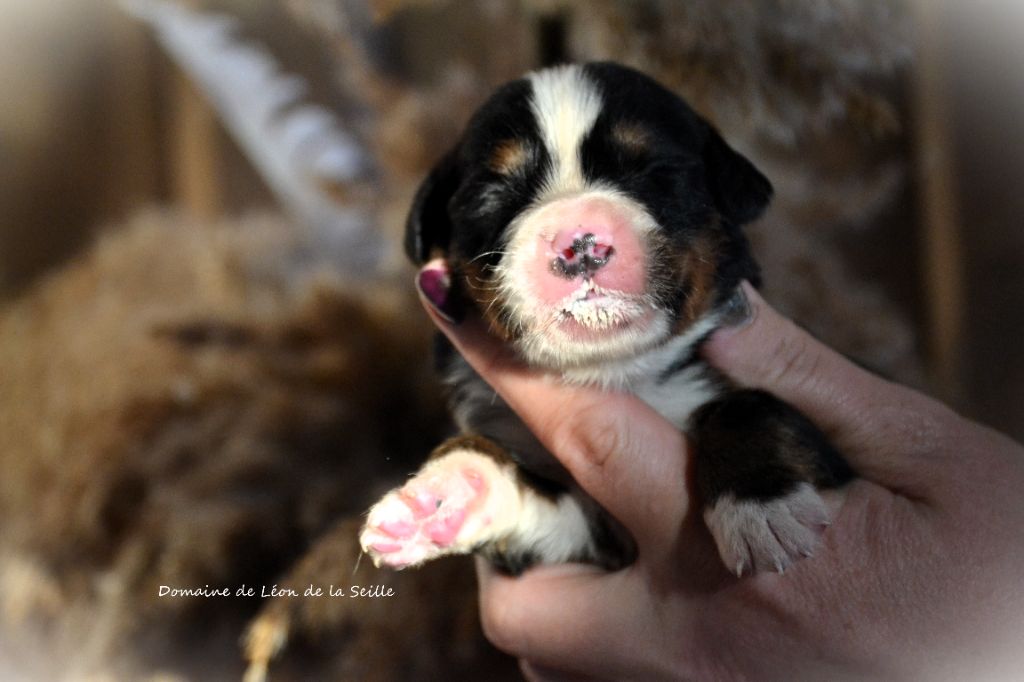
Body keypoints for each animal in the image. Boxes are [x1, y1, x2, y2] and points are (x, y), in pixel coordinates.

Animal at [356, 62, 851, 573]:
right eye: (493, 193)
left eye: (654, 171)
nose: (580, 244)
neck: (616, 374)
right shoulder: (591, 535)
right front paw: (448, 493)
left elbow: (748, 406)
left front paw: (762, 503)